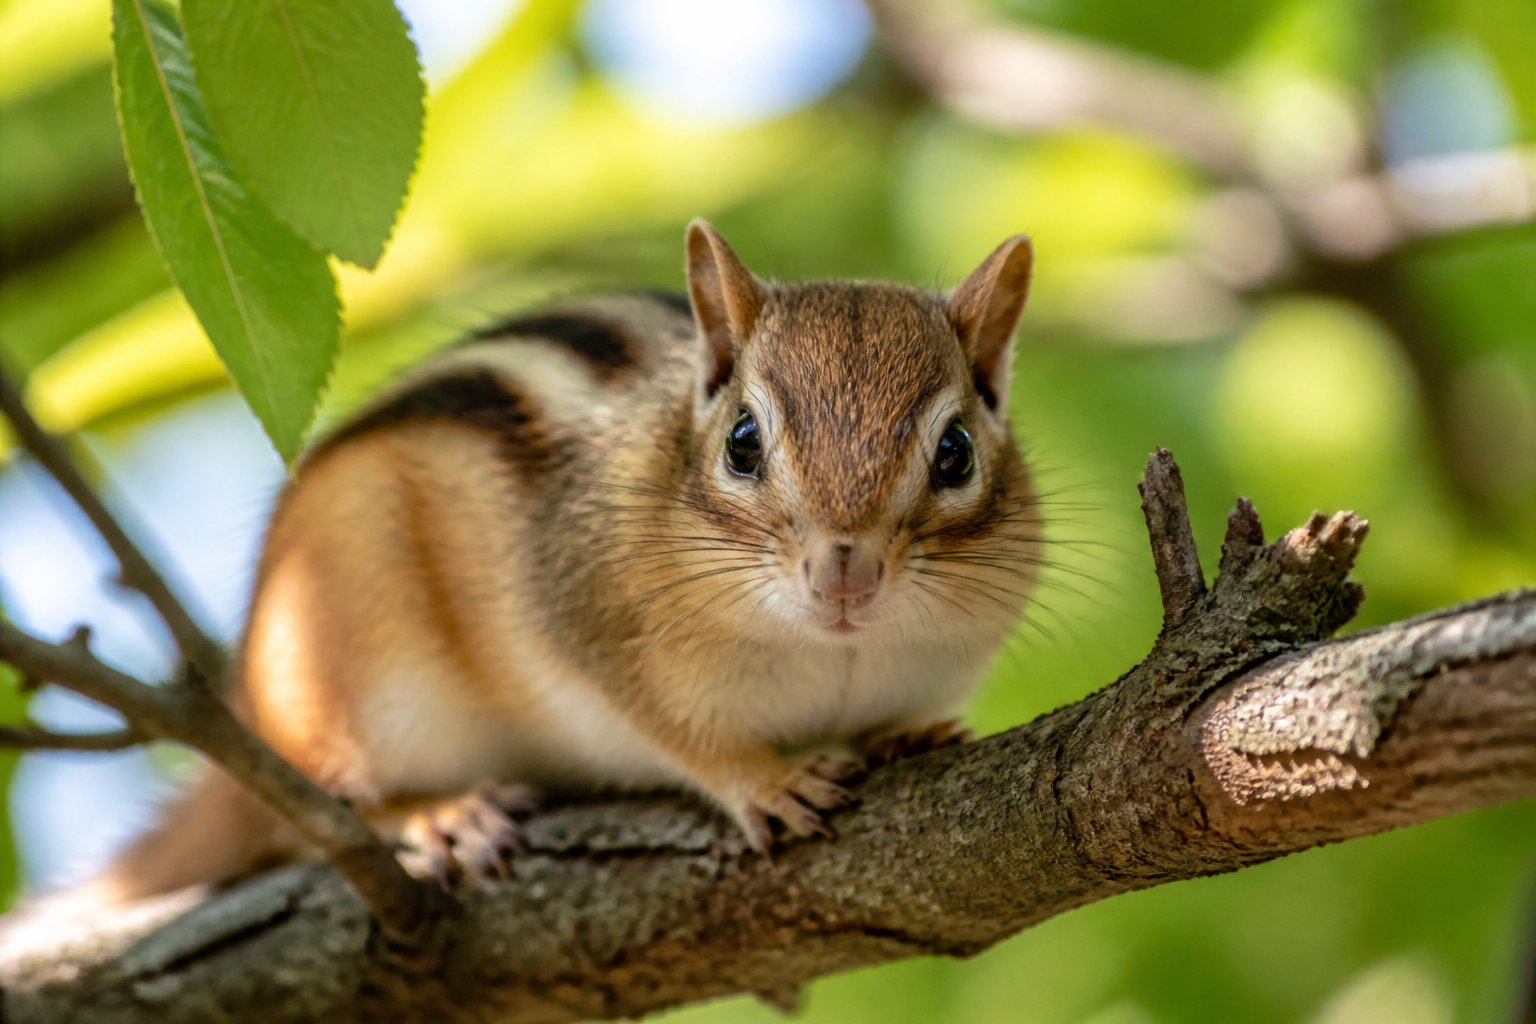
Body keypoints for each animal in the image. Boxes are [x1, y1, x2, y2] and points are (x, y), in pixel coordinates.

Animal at [86, 220, 1041, 900]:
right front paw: (767, 781)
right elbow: (685, 737)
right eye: (742, 443)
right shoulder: (598, 630)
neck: (835, 651)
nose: (847, 572)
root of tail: (247, 701)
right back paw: (442, 813)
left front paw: (909, 732)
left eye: (955, 451)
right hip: (347, 679)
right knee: (331, 804)